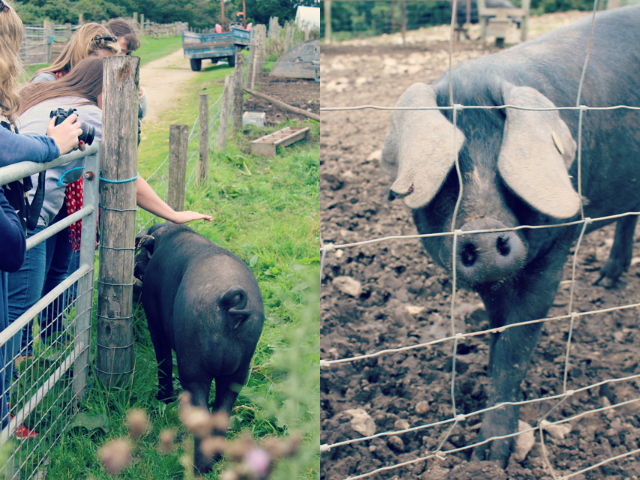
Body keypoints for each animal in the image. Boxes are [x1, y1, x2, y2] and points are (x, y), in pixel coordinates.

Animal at [135, 223, 265, 473]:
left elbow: (163, 358)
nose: (135, 267)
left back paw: (200, 468)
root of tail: (229, 302)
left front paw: (163, 399)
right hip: (239, 370)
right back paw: (217, 458)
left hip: (193, 366)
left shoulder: (154, 318)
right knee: (224, 407)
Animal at [381, 6, 640, 465]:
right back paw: (606, 280)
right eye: (449, 175)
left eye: (506, 162)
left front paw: (488, 458)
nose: (484, 233)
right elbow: (498, 330)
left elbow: (516, 348)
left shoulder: (554, 249)